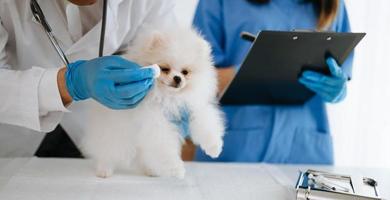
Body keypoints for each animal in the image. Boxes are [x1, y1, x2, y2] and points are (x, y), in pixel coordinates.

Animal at [81, 26, 225, 178]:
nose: (178, 78)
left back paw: (150, 170)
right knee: (107, 151)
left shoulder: (192, 106)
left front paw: (214, 147)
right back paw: (104, 170)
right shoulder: (154, 122)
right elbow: (165, 146)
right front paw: (176, 169)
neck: (168, 96)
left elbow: (206, 123)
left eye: (185, 72)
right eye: (165, 69)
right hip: (112, 134)